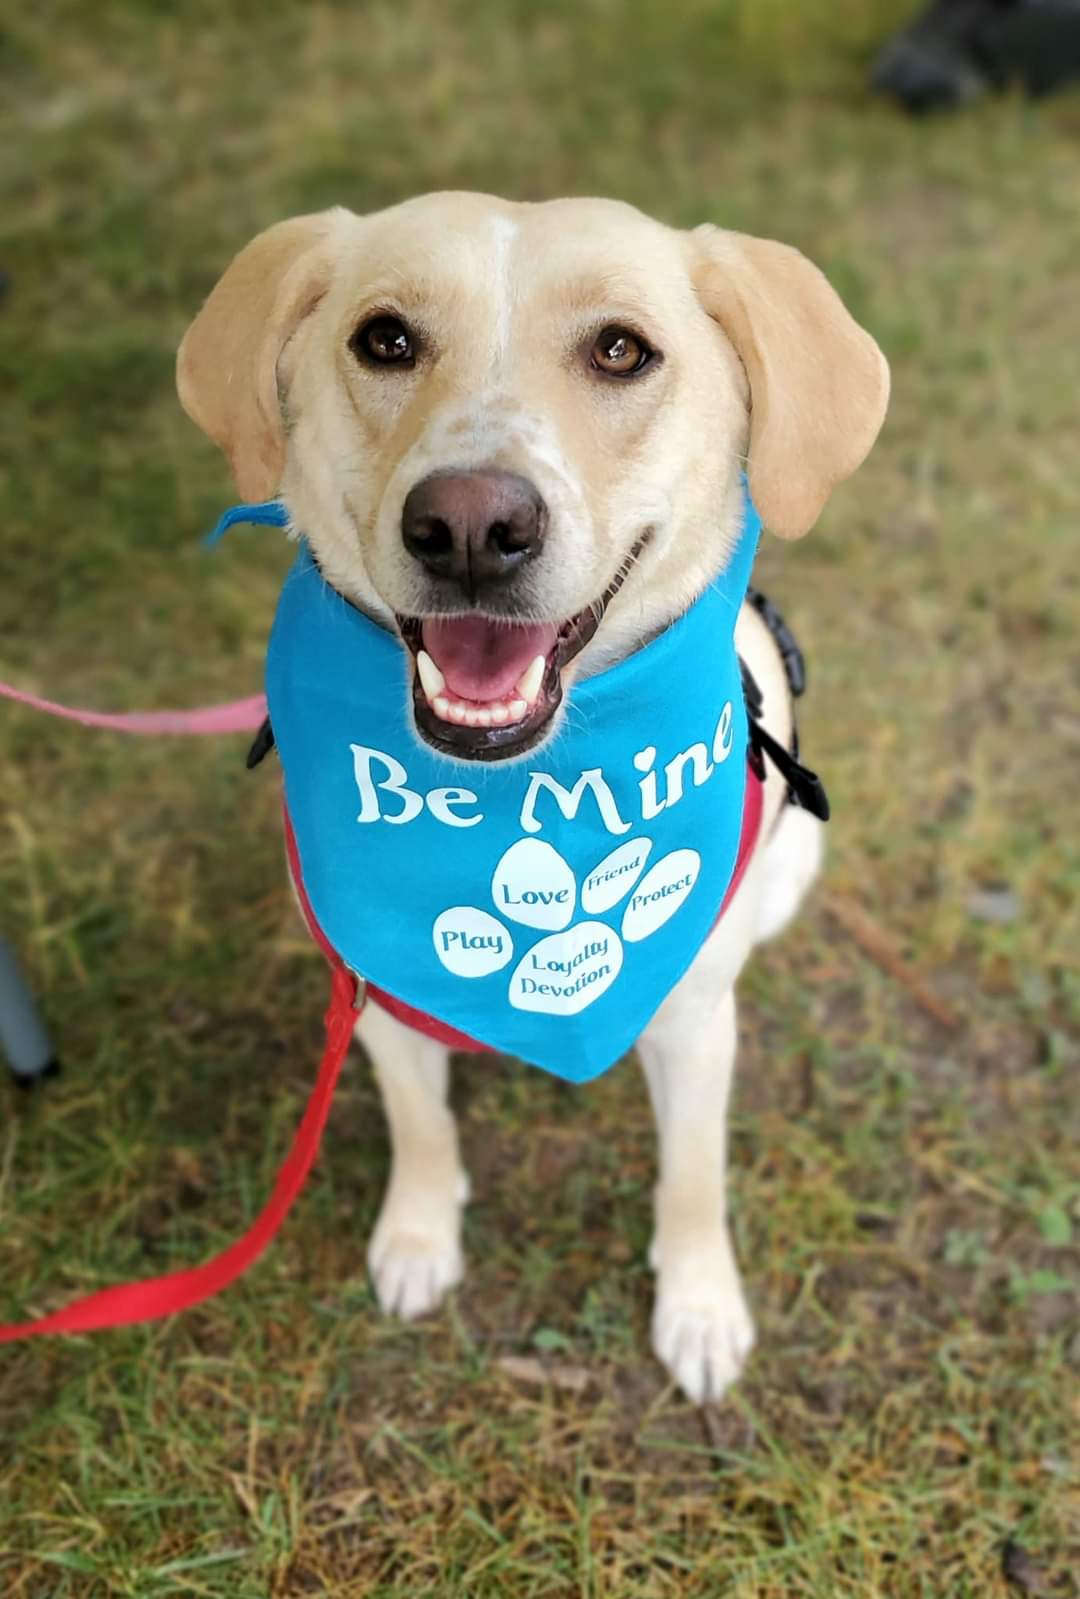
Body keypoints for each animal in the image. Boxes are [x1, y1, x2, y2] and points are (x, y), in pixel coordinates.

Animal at [175, 196, 889, 1400]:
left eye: (621, 351)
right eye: (385, 340)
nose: (469, 527)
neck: (513, 795)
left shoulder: (696, 1019)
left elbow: (693, 1176)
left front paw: (699, 1304)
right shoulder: (371, 1001)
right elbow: (422, 1130)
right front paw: (420, 1237)